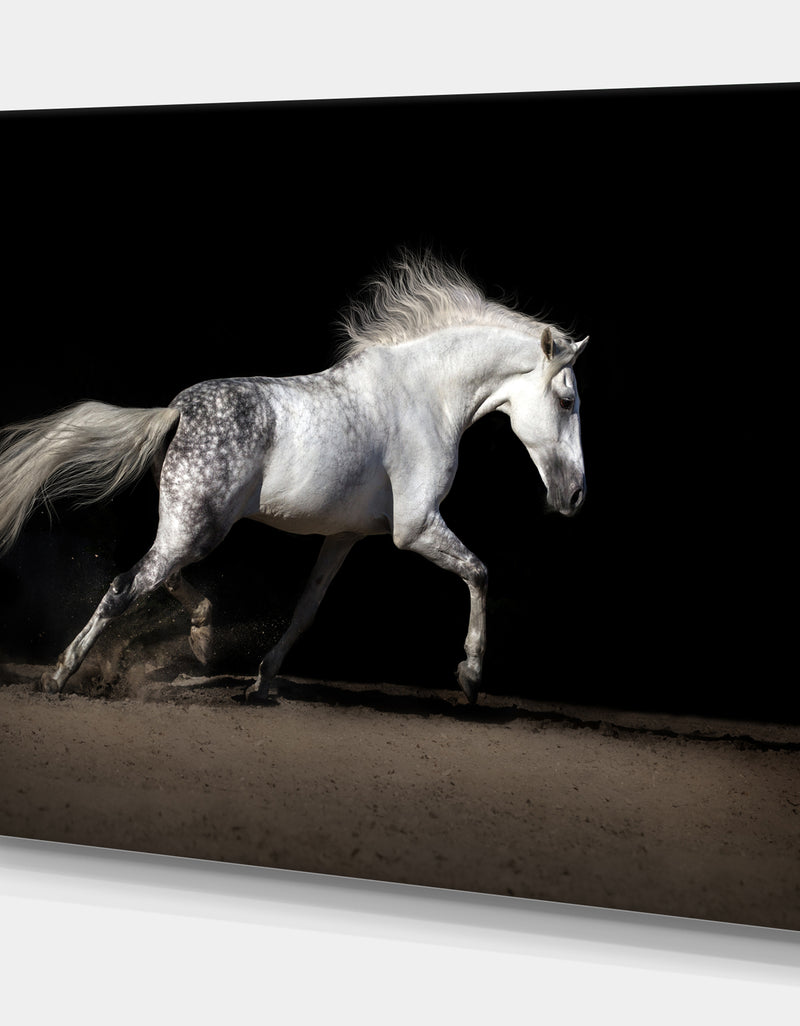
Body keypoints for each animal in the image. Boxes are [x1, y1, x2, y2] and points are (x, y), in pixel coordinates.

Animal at [0, 253, 589, 704]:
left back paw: (203, 639)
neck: (426, 396)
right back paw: (61, 675)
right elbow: (480, 572)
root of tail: (179, 410)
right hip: (196, 529)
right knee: (127, 586)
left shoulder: (344, 535)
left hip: (191, 529)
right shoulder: (416, 527)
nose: (575, 495)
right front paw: (469, 676)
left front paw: (261, 682)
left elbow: (307, 610)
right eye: (567, 401)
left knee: (161, 578)